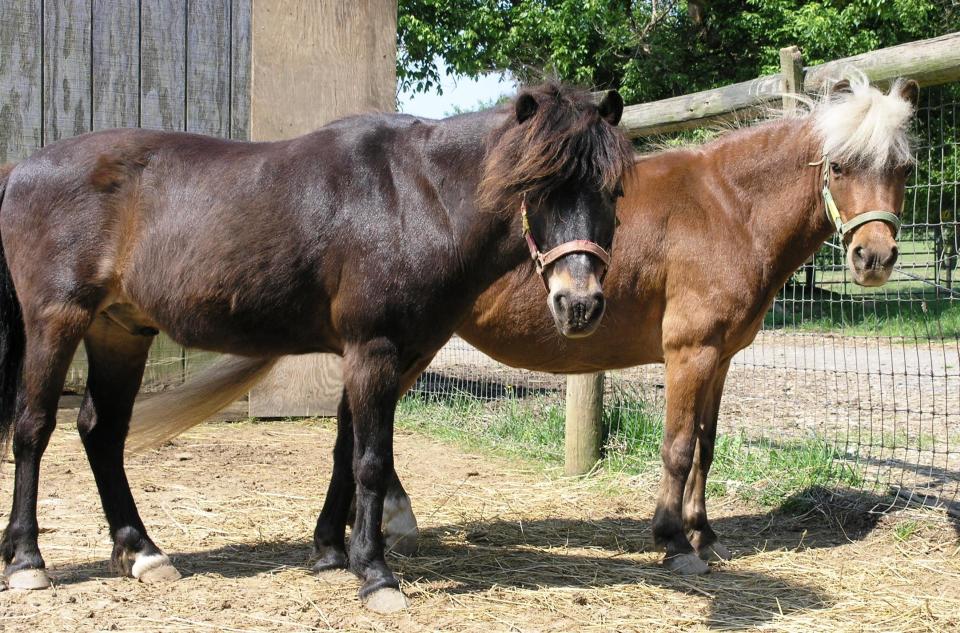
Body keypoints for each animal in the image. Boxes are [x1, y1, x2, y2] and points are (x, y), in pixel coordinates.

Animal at [0, 81, 632, 608]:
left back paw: (142, 553)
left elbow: (345, 450)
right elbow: (372, 460)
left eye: (613, 190)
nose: (579, 303)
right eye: (537, 187)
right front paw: (375, 574)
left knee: (101, 433)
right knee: (33, 428)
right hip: (58, 319)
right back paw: (28, 561)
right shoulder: (374, 349)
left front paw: (331, 551)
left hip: (120, 331)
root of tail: (23, 167)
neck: (415, 197)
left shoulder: (381, 354)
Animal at [374, 75, 916, 572]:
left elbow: (705, 446)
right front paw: (673, 540)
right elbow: (677, 447)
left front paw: (704, 535)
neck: (728, 209)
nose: (874, 257)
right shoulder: (689, 353)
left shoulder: (719, 359)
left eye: (904, 168)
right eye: (839, 166)